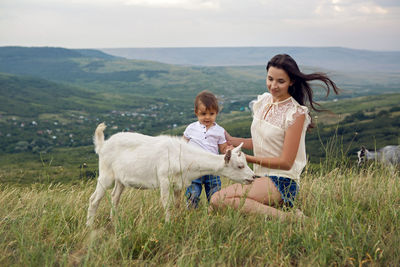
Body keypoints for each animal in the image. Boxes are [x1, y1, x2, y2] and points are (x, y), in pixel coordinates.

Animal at [86, 123, 255, 226]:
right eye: (240, 166)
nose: (253, 177)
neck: (182, 156)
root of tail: (103, 145)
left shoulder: (178, 184)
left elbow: (177, 204)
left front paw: (177, 220)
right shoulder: (164, 181)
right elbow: (167, 204)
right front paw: (168, 224)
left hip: (120, 179)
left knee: (115, 197)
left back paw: (114, 221)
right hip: (106, 174)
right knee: (94, 199)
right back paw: (90, 225)